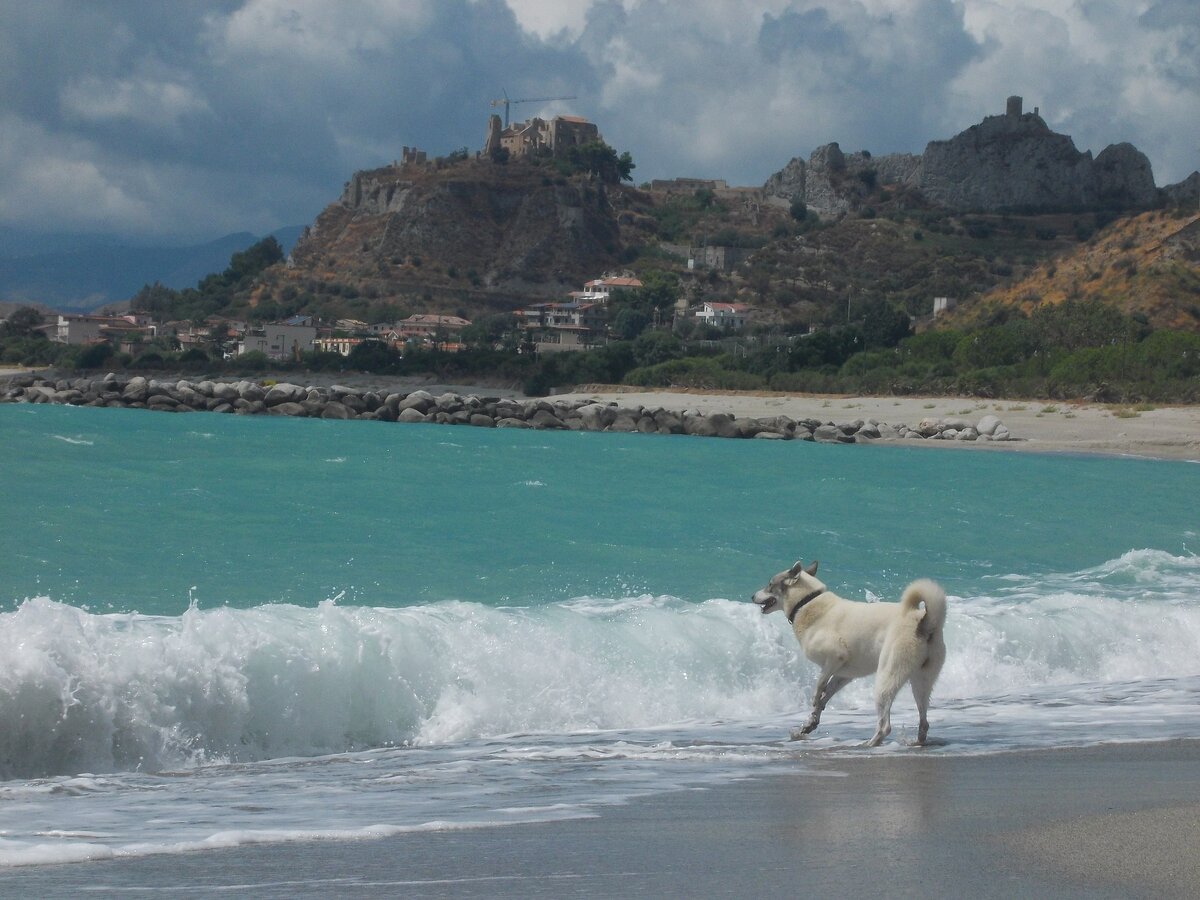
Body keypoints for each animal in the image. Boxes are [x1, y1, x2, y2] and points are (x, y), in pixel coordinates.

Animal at [748, 564, 945, 748]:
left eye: (770, 584)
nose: (751, 596)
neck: (806, 602)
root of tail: (923, 622)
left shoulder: (834, 657)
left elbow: (819, 687)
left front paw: (814, 704)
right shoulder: (844, 674)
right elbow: (826, 694)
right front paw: (809, 723)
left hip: (887, 677)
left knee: (885, 725)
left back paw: (870, 743)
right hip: (922, 680)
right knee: (924, 720)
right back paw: (917, 741)